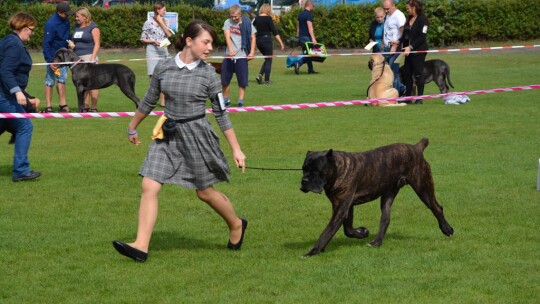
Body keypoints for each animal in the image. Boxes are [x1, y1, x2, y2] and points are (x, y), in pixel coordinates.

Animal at [302, 138, 454, 256]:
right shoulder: (345, 206)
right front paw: (362, 232)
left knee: (437, 208)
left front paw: (313, 251)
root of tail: (416, 147)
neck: (338, 169)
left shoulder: (341, 209)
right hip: (388, 194)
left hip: (423, 188)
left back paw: (447, 229)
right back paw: (376, 242)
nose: (304, 181)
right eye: (303, 169)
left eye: (316, 170)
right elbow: (348, 230)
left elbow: (327, 232)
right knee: (385, 219)